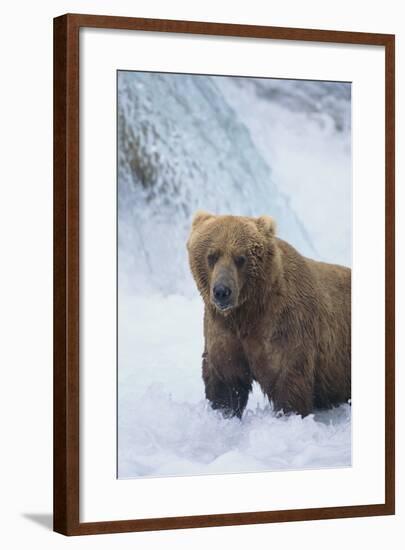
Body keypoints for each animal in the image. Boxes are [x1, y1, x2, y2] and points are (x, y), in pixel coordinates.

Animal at [187, 213, 350, 420]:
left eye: (241, 258)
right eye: (212, 256)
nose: (222, 291)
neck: (247, 312)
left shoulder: (284, 326)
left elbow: (286, 380)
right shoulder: (223, 331)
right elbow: (226, 381)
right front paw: (224, 413)